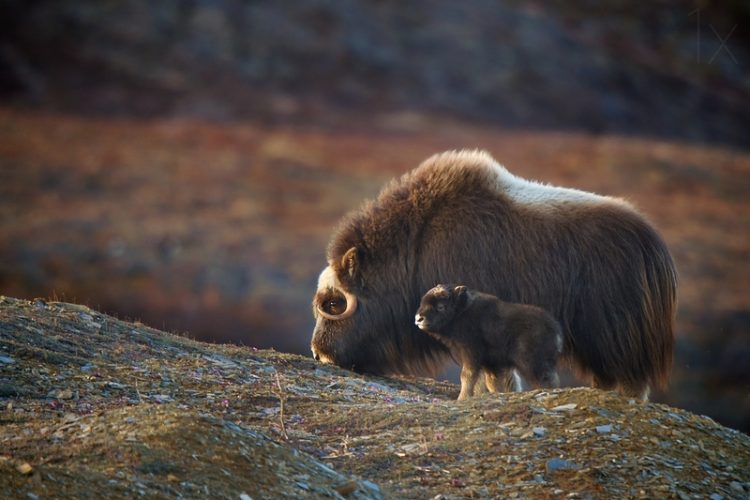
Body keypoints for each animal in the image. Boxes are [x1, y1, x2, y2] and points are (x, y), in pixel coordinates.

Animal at [418, 284, 564, 400]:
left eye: (440, 306)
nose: (419, 318)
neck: (461, 313)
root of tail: (555, 330)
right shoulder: (490, 364)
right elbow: (491, 382)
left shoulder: (471, 355)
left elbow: (467, 376)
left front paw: (462, 398)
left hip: (532, 364)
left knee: (545, 379)